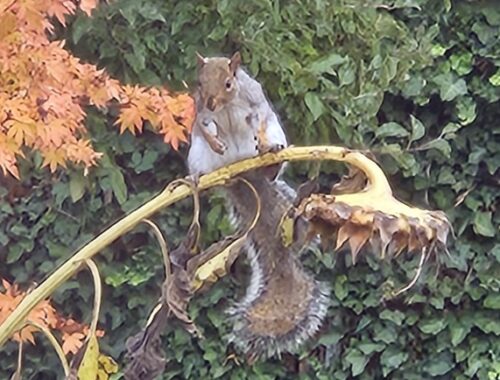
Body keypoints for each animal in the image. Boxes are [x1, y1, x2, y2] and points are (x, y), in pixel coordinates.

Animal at [186, 52, 330, 360]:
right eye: (200, 83)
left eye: (229, 83)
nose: (210, 102)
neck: (228, 104)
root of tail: (243, 174)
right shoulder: (201, 113)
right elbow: (204, 126)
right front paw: (214, 140)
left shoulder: (255, 102)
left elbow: (260, 118)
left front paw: (261, 140)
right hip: (198, 156)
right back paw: (197, 179)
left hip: (277, 137)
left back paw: (270, 159)